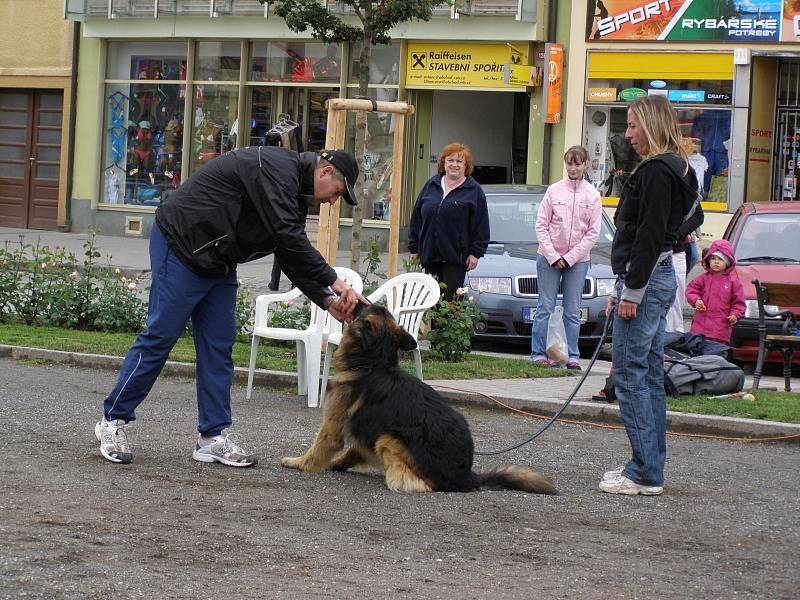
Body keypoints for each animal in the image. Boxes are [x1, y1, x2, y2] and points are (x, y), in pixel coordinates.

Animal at [282, 302, 556, 494]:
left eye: (365, 308)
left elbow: (318, 448)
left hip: (389, 439)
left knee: (416, 481)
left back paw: (395, 480)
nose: (355, 301)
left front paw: (299, 463)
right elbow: (353, 452)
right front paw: (337, 464)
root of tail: (466, 475)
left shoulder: (333, 426)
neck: (374, 364)